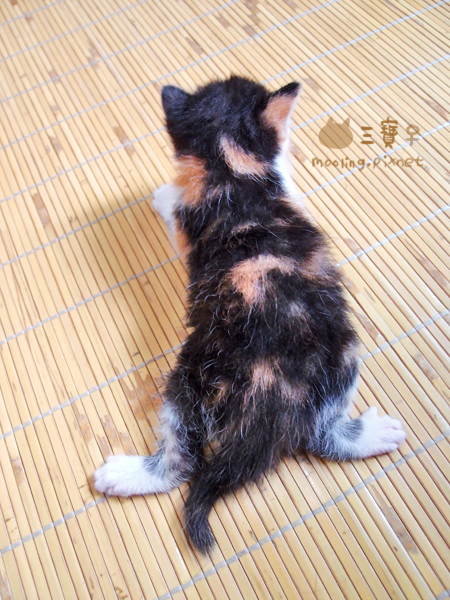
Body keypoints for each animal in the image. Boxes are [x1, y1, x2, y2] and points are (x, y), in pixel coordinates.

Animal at [94, 76, 406, 553]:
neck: (233, 170)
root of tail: (272, 396)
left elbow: (174, 208)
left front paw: (163, 193)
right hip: (343, 353)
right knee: (320, 434)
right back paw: (370, 437)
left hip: (190, 381)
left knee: (183, 462)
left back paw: (126, 475)